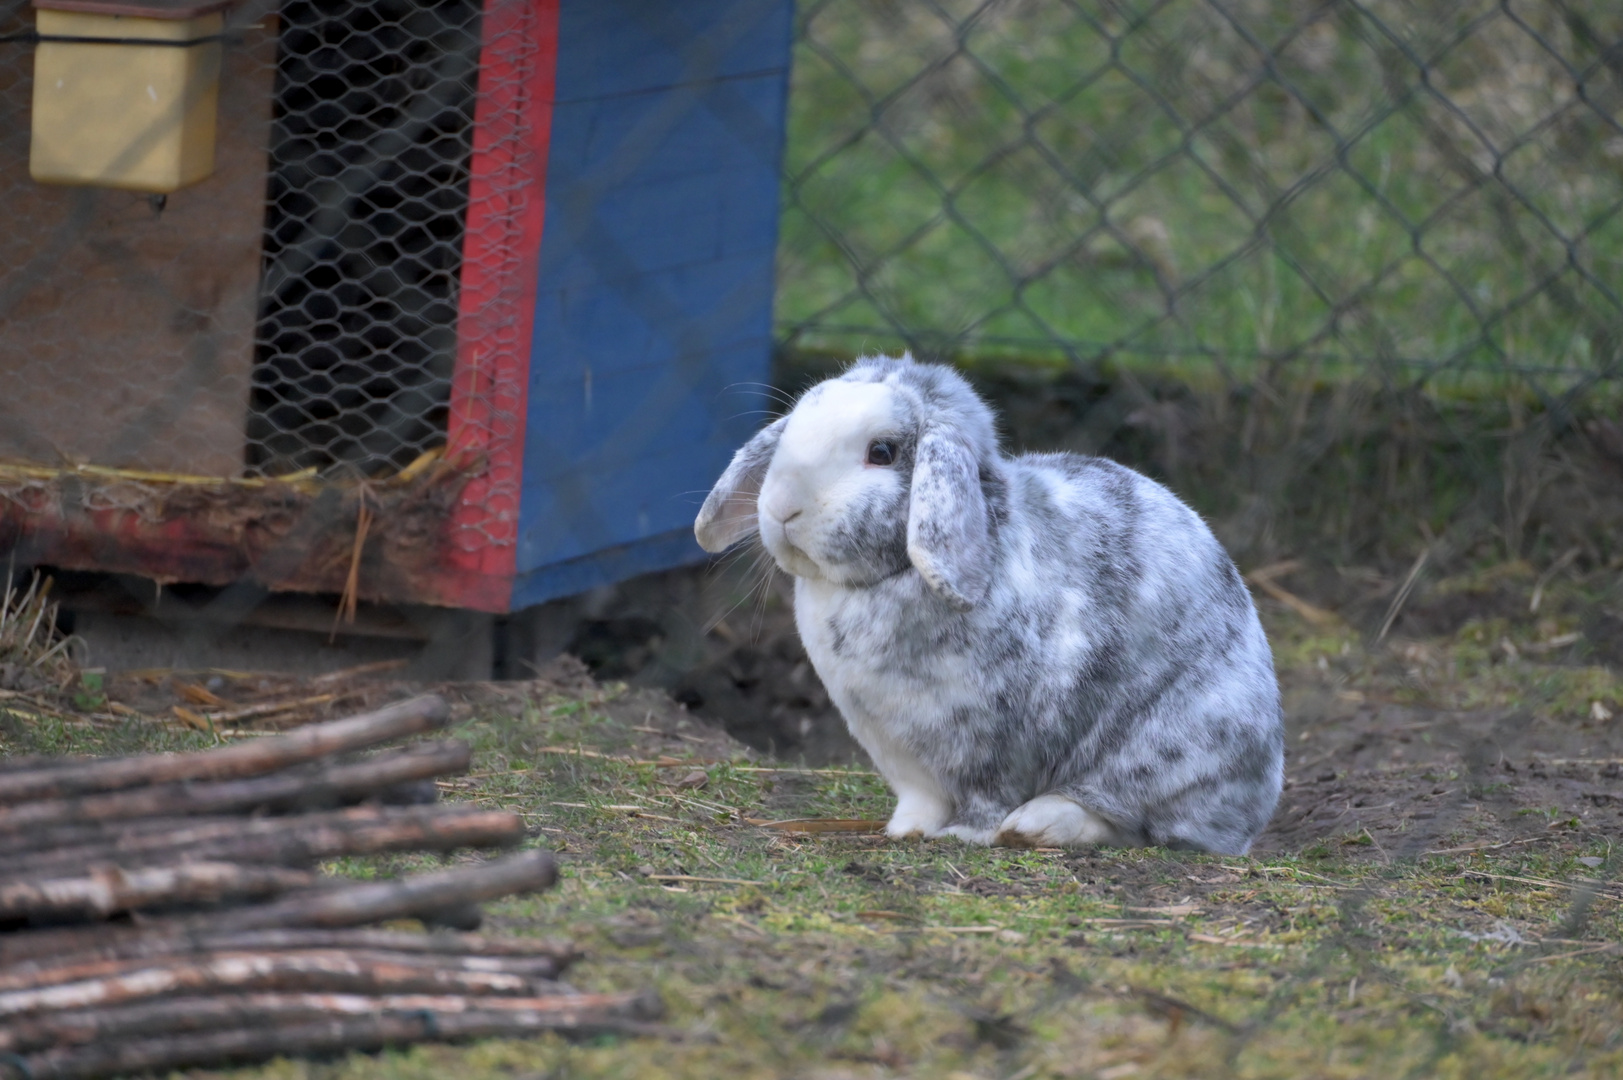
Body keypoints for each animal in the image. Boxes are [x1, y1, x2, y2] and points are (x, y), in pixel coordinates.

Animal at [691, 357, 1285, 857]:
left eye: (881, 452)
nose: (780, 507)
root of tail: (1255, 804)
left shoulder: (998, 746)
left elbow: (987, 798)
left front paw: (967, 835)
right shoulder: (901, 757)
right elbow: (919, 801)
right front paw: (904, 830)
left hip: (1164, 755)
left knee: (1129, 821)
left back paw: (1036, 826)